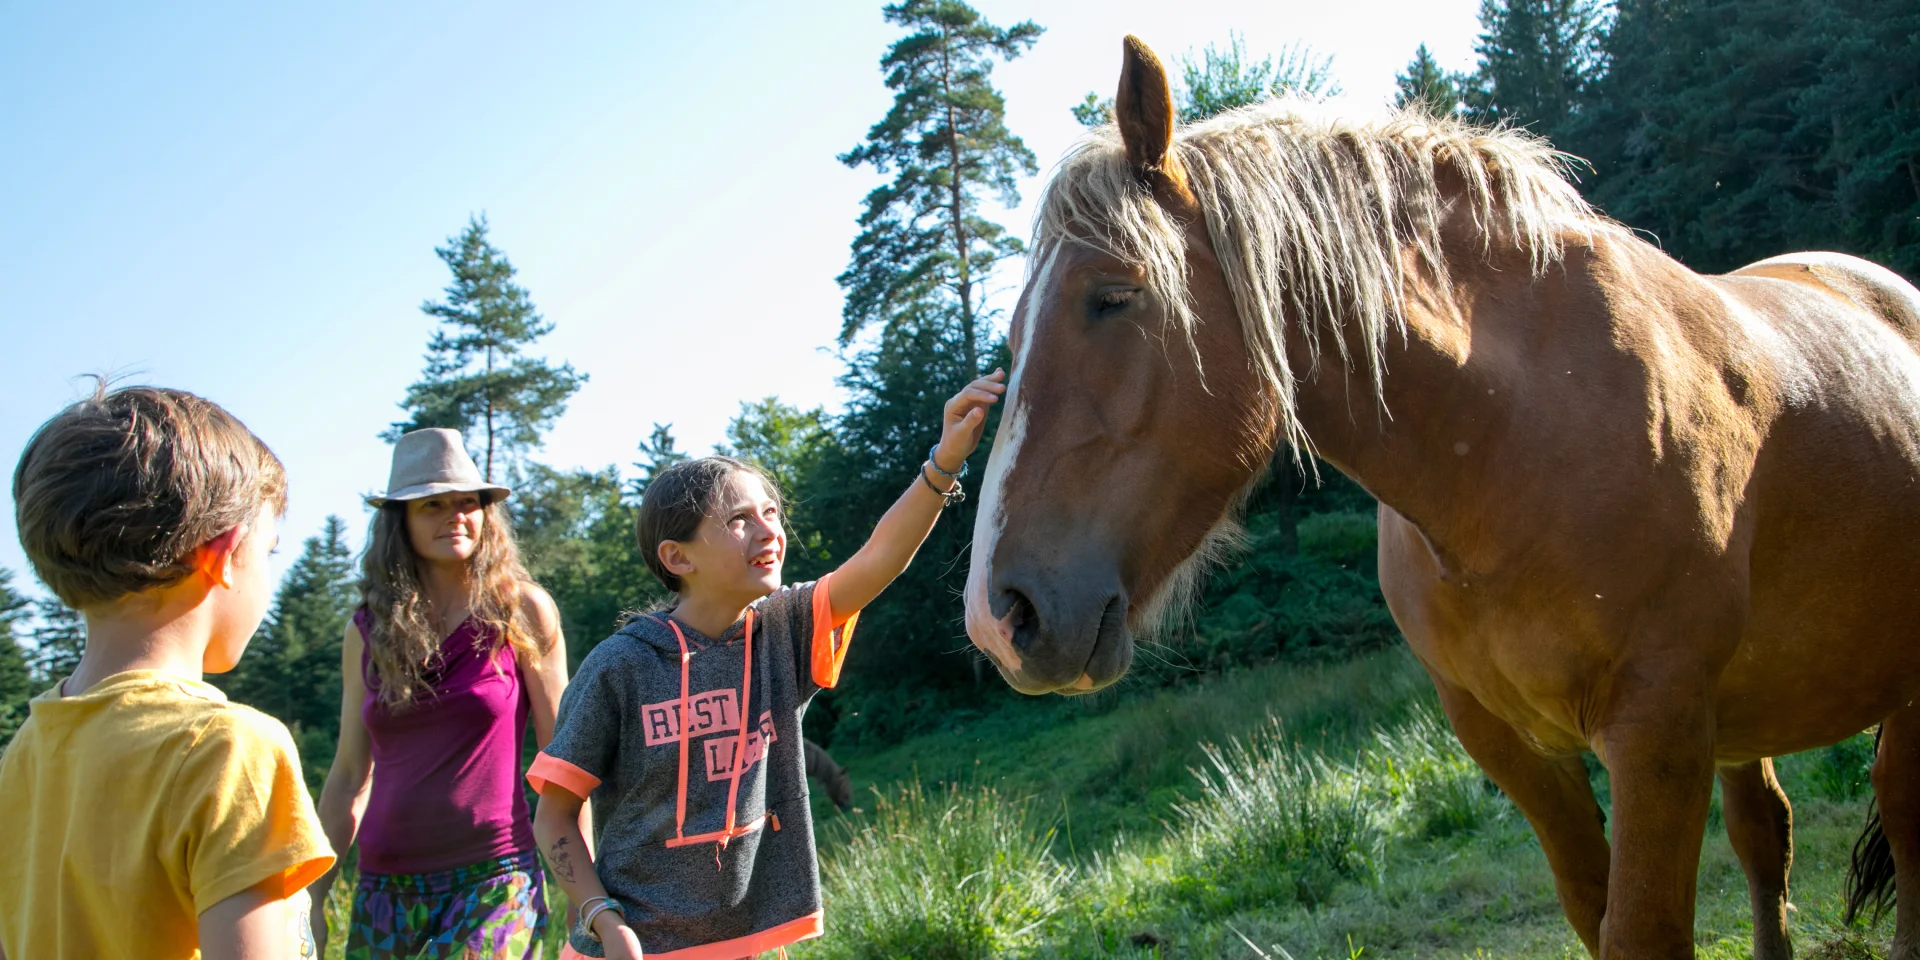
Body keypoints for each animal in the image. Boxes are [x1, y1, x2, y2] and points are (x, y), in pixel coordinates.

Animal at [963, 36, 1920, 959]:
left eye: (1114, 296)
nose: (997, 617)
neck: (1511, 444)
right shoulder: (1509, 744)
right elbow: (1594, 908)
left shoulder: (1660, 729)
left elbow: (1644, 930)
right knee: (1768, 834)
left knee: (1898, 815)